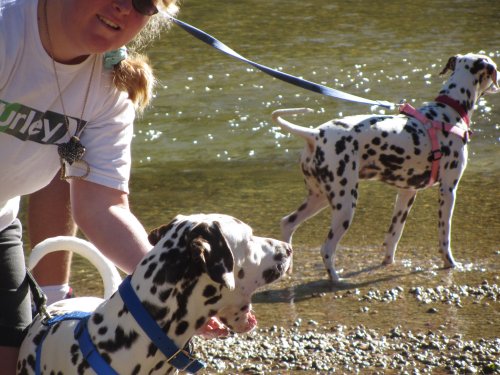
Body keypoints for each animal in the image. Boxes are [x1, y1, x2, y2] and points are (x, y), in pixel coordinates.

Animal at [272, 52, 498, 282]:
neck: (448, 112)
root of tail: (314, 134)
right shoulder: (448, 190)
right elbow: (445, 237)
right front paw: (450, 263)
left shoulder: (407, 193)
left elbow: (393, 235)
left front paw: (388, 263)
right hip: (345, 206)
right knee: (326, 249)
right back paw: (337, 280)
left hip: (318, 198)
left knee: (288, 223)